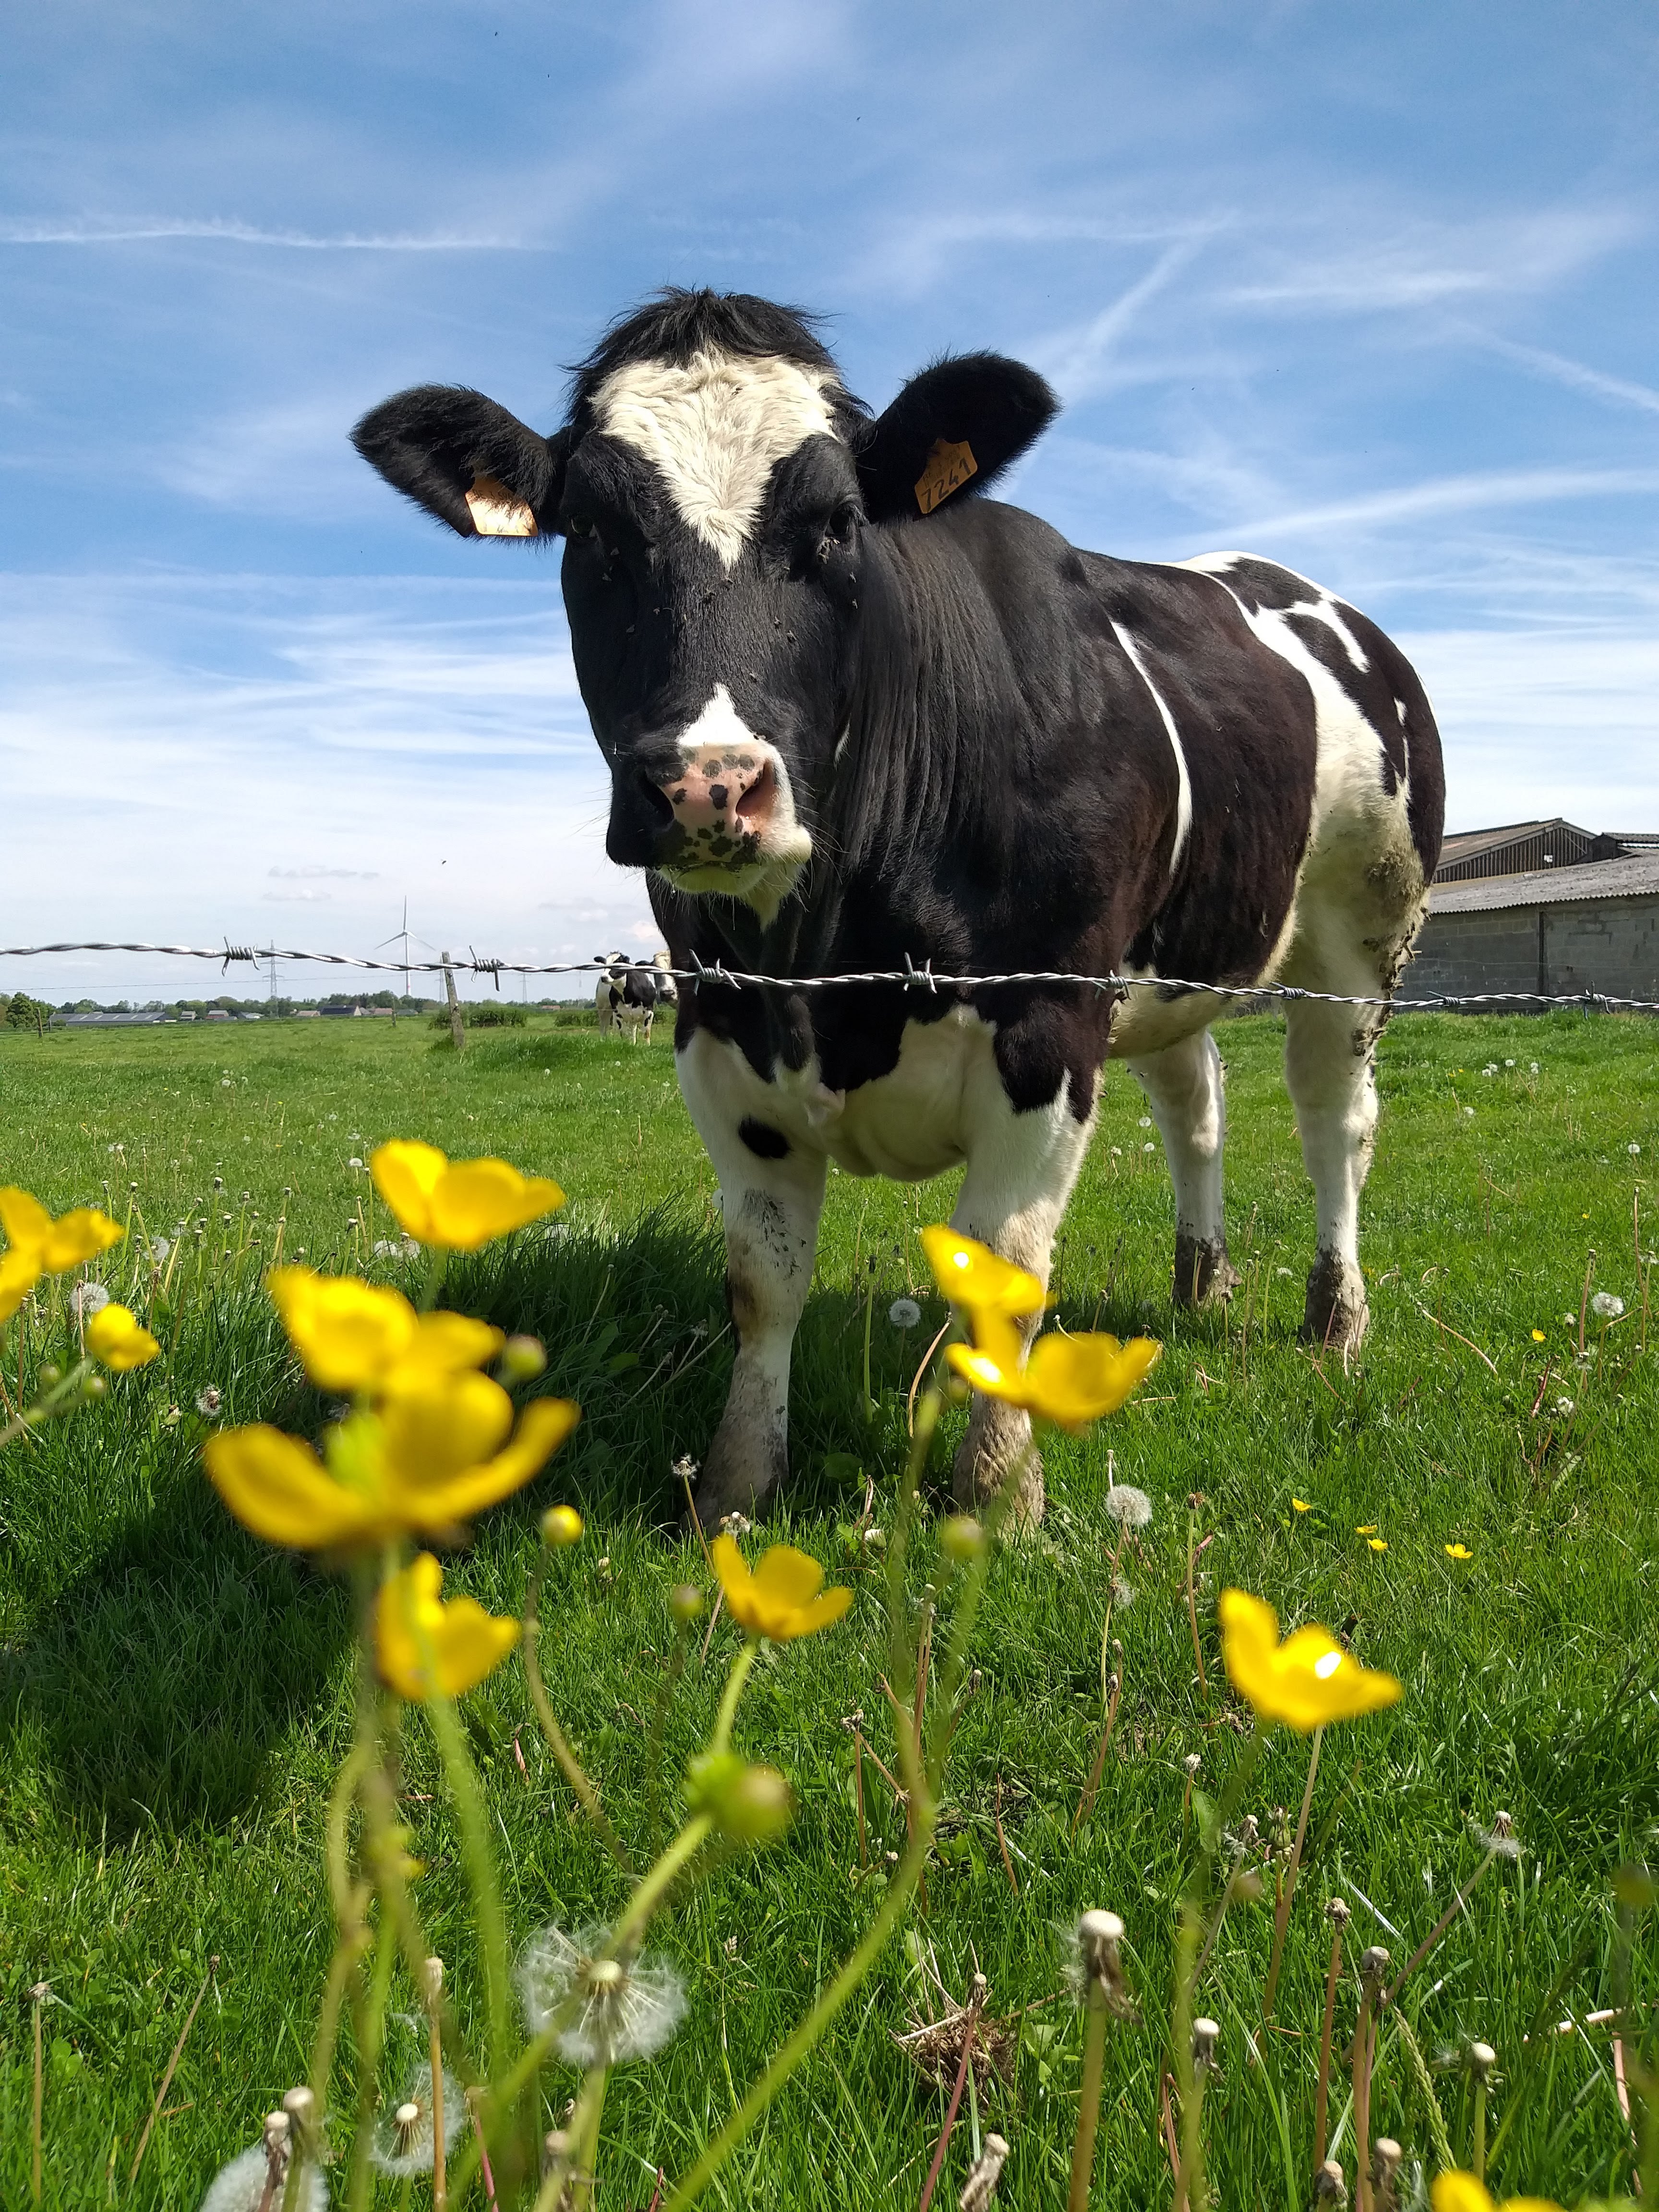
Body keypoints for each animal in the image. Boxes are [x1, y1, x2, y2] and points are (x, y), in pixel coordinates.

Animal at [358, 294, 1451, 1530]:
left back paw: (1335, 1320)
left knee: (1333, 1118)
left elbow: (1005, 1273)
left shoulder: (1048, 1022)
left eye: (839, 525)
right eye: (592, 531)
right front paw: (735, 1488)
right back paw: (1198, 1283)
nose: (708, 784)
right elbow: (761, 1283)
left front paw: (999, 1494)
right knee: (1195, 1107)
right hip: (1168, 964)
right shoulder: (718, 1030)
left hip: (1363, 928)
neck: (831, 970)